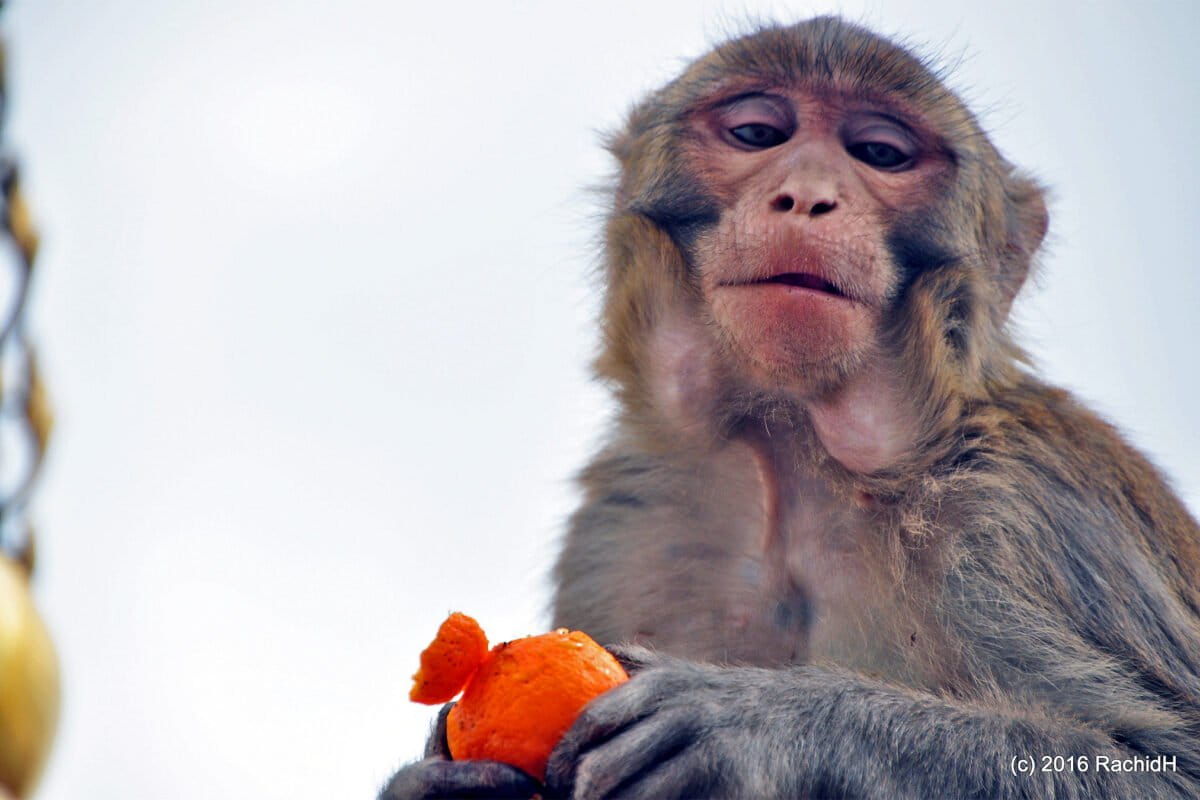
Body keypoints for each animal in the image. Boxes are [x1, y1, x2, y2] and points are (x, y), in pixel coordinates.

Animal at [381, 16, 1200, 800]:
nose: (807, 194)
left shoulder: (1029, 516)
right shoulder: (623, 525)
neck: (794, 449)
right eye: (757, 134)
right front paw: (437, 783)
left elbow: (1163, 764)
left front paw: (756, 721)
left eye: (879, 152)